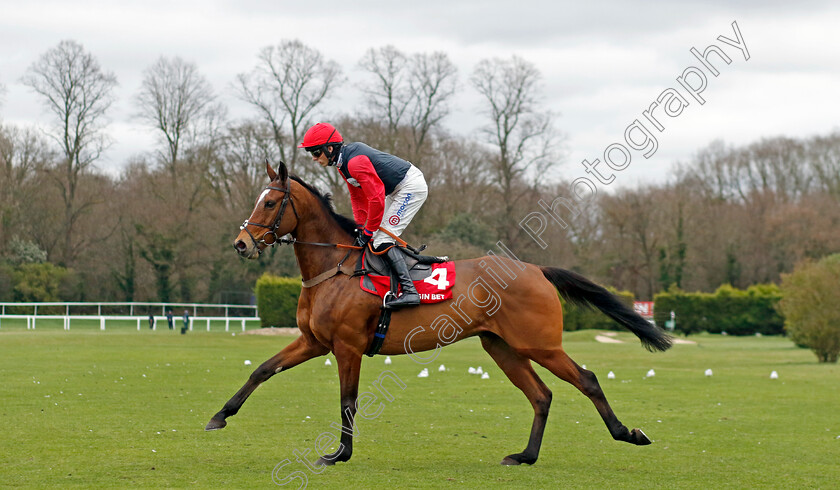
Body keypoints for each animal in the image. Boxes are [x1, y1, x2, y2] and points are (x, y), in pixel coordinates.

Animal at [207, 162, 672, 468]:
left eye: (270, 202)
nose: (241, 244)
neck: (333, 268)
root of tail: (535, 269)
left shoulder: (347, 347)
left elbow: (348, 402)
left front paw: (339, 454)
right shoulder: (313, 342)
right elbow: (262, 370)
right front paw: (220, 415)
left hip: (538, 343)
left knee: (587, 379)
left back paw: (628, 433)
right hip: (501, 347)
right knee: (541, 395)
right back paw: (525, 456)